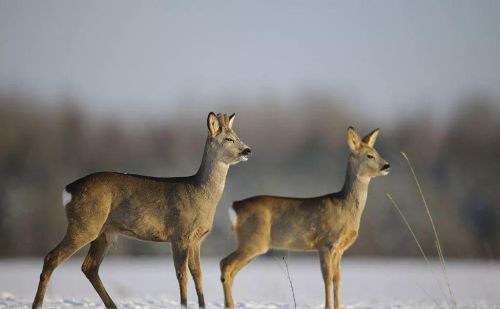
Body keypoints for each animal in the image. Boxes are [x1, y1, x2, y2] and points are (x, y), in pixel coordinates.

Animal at [220, 125, 390, 308]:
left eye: (377, 152)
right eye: (370, 155)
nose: (386, 165)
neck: (345, 207)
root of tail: (235, 206)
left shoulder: (339, 249)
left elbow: (337, 279)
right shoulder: (325, 243)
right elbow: (327, 278)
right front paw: (328, 306)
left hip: (253, 243)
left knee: (229, 268)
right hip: (254, 240)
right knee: (226, 264)